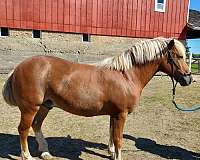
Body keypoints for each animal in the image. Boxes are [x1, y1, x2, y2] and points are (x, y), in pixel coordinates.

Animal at [1, 37, 192, 160]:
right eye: (179, 56)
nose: (189, 79)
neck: (126, 75)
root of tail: (18, 68)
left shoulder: (114, 114)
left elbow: (112, 135)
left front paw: (111, 152)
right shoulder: (121, 114)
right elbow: (119, 139)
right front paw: (116, 155)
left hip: (45, 106)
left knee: (36, 125)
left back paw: (45, 152)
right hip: (30, 108)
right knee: (23, 129)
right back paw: (27, 156)